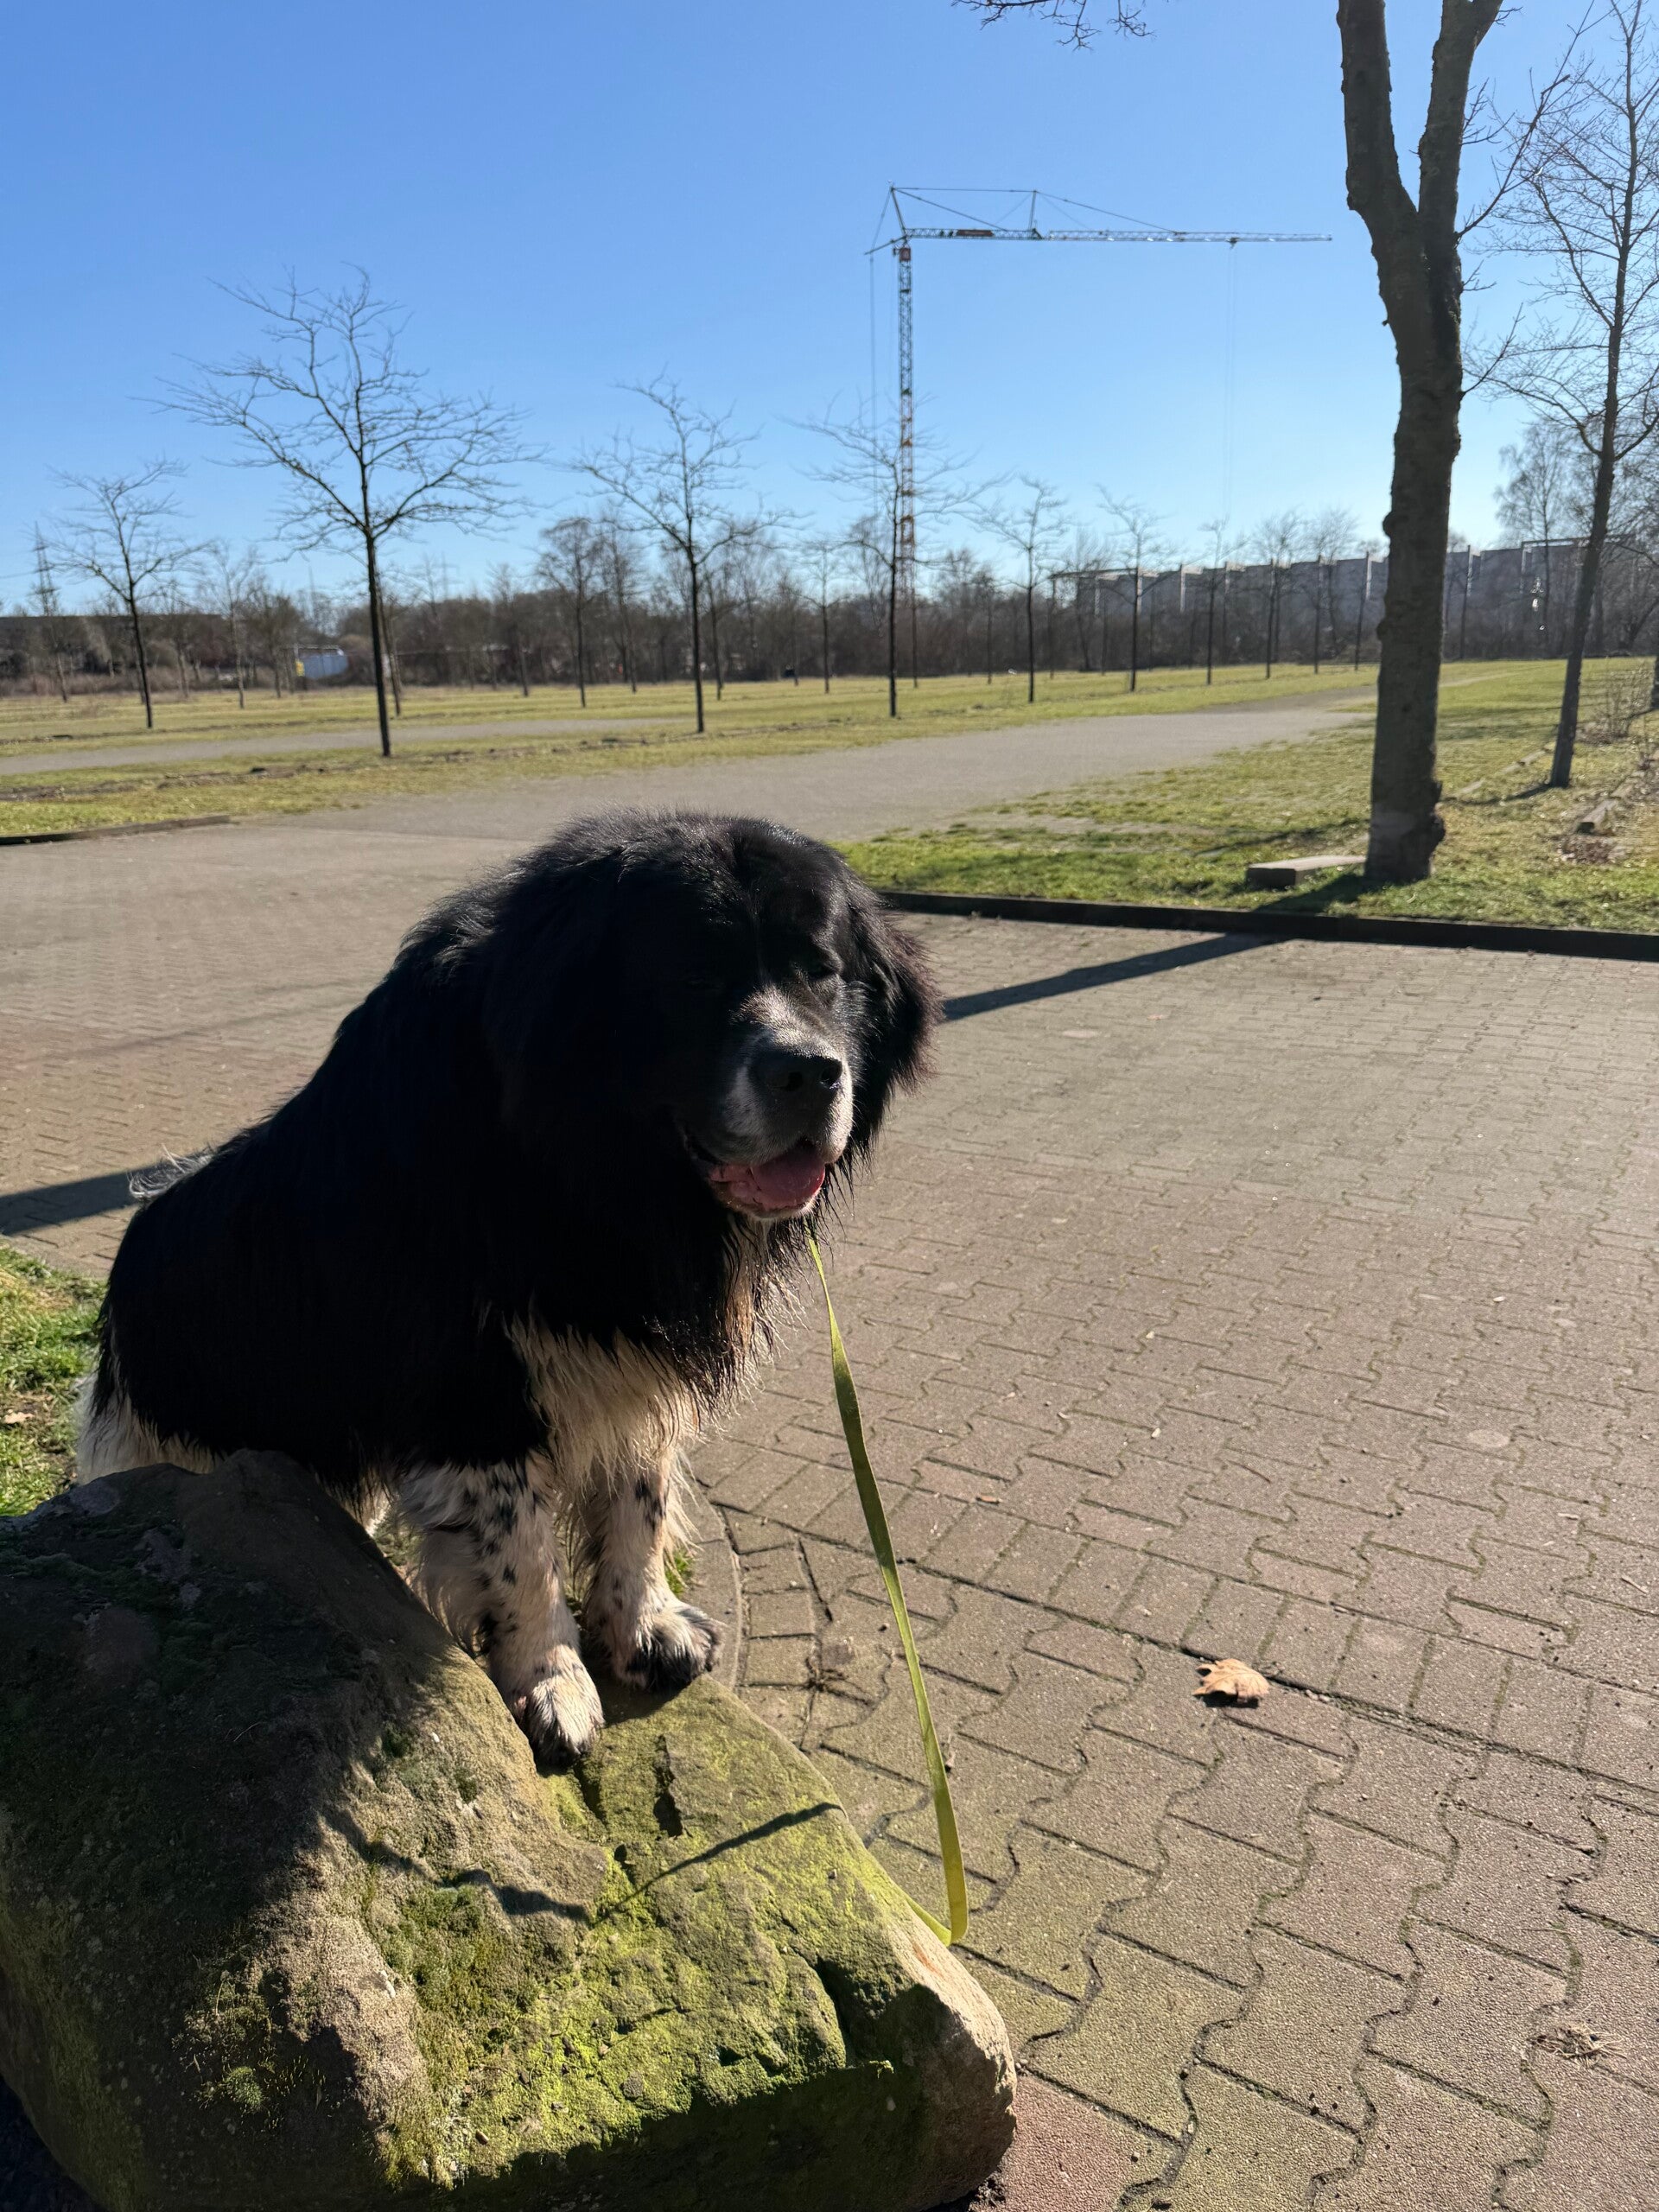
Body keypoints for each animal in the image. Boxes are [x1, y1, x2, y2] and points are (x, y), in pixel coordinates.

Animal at [81, 811, 937, 1762]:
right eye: (691, 976)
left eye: (821, 970)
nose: (810, 1072)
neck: (584, 1174)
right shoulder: (473, 1386)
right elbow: (521, 1549)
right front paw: (550, 1682)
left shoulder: (632, 1356)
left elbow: (640, 1496)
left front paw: (641, 1627)